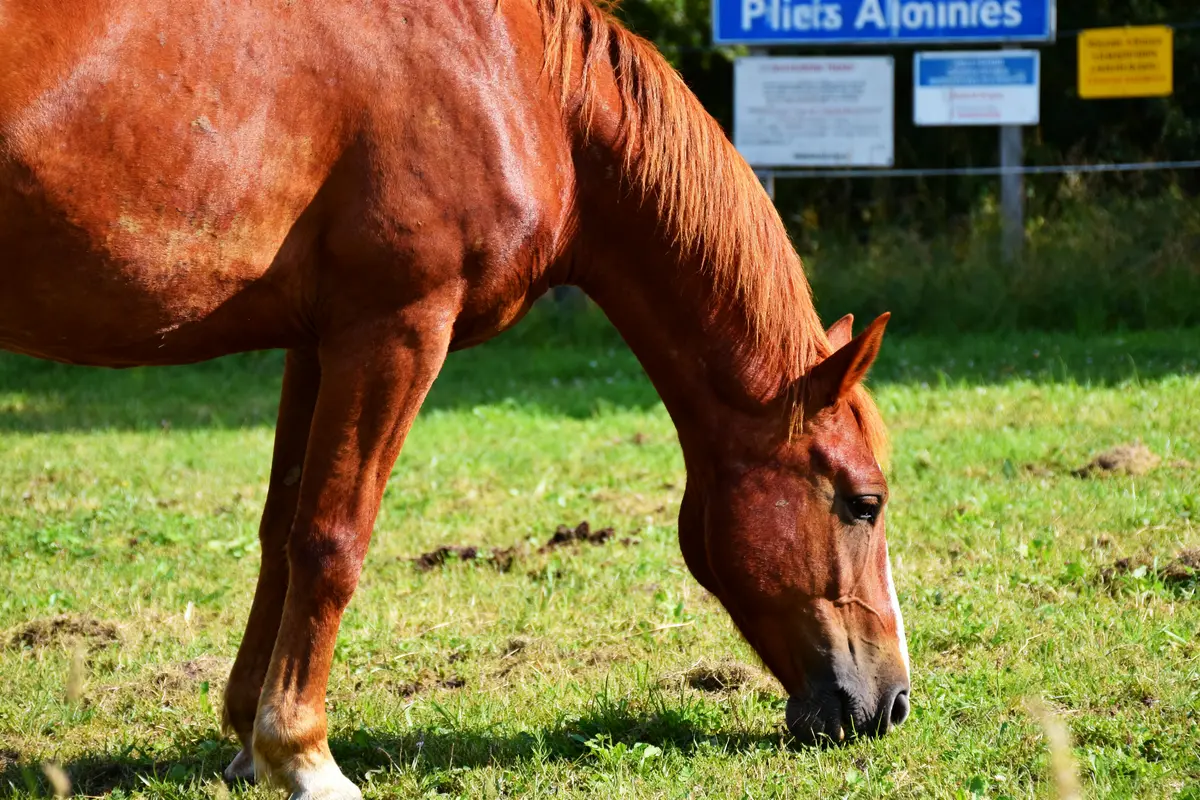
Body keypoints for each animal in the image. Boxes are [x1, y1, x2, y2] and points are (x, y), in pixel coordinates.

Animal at [0, 0, 909, 796]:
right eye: (863, 503)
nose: (894, 702)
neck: (527, 86)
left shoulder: (315, 341)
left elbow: (281, 531)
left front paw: (250, 743)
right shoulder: (397, 328)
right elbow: (332, 542)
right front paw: (302, 755)